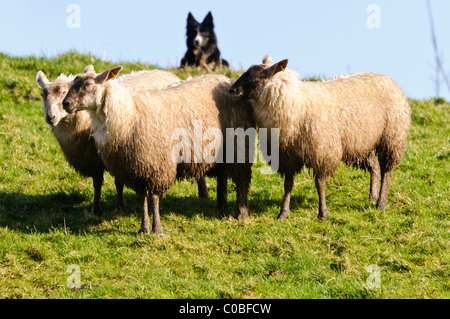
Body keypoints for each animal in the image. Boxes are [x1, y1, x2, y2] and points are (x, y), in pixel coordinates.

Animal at [36, 66, 188, 216]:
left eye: (63, 92)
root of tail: (165, 72)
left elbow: (118, 182)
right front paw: (96, 209)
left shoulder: (118, 154)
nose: (50, 117)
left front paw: (120, 206)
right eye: (43, 95)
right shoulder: (93, 159)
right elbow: (97, 183)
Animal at [61, 66, 255, 234]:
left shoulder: (156, 165)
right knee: (222, 177)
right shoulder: (134, 168)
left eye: (87, 85)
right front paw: (144, 228)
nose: (65, 103)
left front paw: (157, 229)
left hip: (238, 144)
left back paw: (240, 213)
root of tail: (226, 80)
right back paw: (221, 208)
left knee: (242, 179)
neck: (130, 115)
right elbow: (142, 198)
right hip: (220, 151)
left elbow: (153, 198)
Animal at [230, 56, 410, 221]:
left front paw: (323, 213)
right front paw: (283, 213)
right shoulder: (286, 156)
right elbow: (288, 185)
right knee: (374, 166)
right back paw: (372, 197)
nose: (232, 91)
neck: (297, 105)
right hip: (359, 143)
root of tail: (389, 79)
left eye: (256, 77)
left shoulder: (322, 151)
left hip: (392, 138)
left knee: (387, 170)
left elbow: (319, 183)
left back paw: (381, 203)